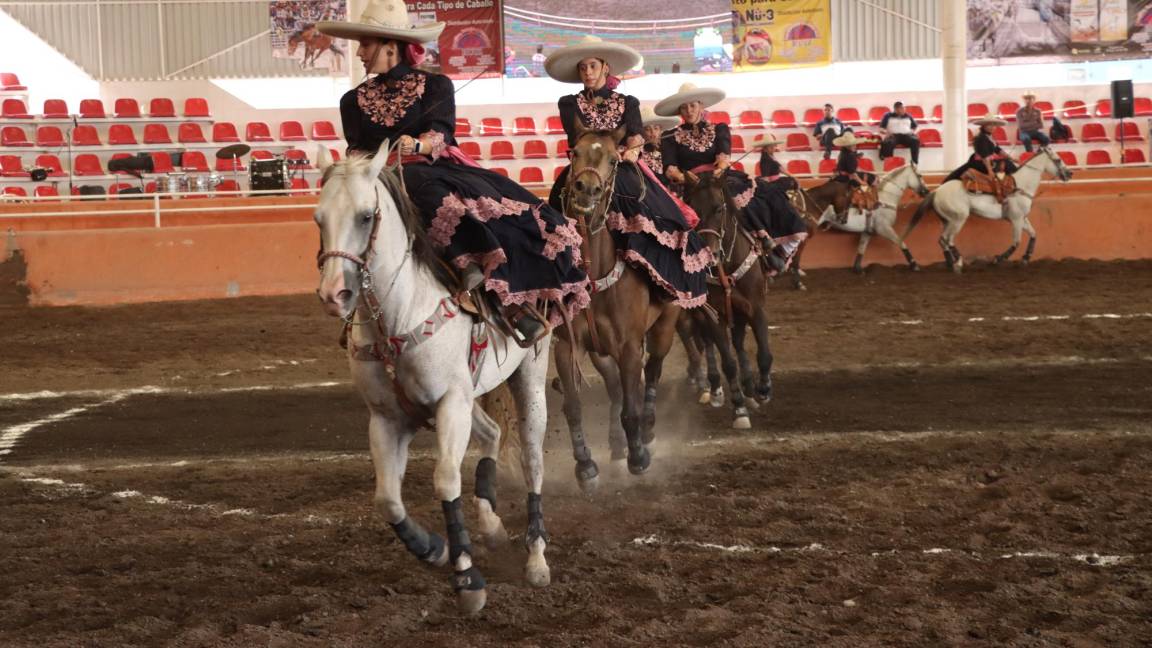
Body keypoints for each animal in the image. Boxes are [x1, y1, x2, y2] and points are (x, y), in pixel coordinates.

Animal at [313, 140, 550, 608]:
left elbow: (445, 480)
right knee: (493, 433)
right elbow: (387, 499)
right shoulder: (388, 418)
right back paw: (491, 525)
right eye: (319, 218)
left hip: (530, 378)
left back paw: (536, 559)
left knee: (532, 460)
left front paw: (467, 577)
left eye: (365, 216)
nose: (335, 294)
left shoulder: (450, 405)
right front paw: (432, 548)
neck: (397, 316)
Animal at [555, 123, 681, 491]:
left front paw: (638, 457)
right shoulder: (568, 345)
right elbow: (573, 406)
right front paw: (585, 466)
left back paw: (646, 433)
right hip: (601, 352)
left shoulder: (628, 346)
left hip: (664, 327)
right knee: (615, 390)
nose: (587, 189)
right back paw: (615, 444)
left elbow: (630, 408)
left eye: (614, 159)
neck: (595, 278)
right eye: (575, 151)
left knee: (651, 372)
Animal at [903, 146, 1073, 269]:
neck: (1020, 185)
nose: (1069, 174)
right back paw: (958, 263)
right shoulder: (1016, 220)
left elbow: (1033, 235)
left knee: (942, 240)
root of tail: (937, 191)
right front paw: (998, 259)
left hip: (947, 220)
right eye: (1058, 160)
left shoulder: (1023, 219)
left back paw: (951, 263)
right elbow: (1016, 242)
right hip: (958, 219)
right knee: (948, 239)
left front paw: (1026, 258)